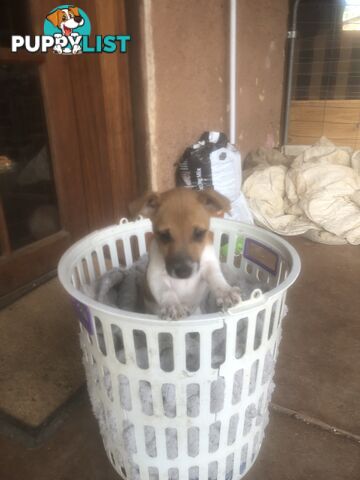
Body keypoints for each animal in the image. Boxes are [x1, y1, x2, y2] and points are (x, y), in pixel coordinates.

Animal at [130, 188, 242, 318]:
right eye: (164, 235)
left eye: (199, 233)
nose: (183, 272)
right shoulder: (155, 276)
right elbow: (166, 291)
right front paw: (172, 305)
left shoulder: (209, 266)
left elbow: (217, 279)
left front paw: (226, 292)